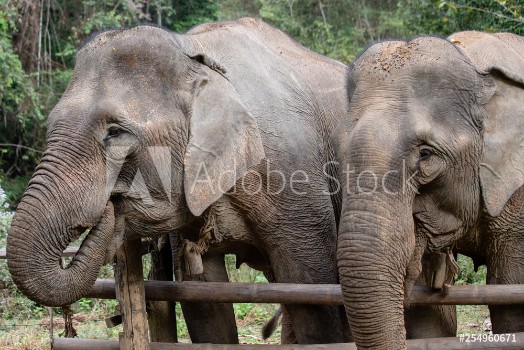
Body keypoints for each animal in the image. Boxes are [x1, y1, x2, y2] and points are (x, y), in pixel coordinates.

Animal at [5, 19, 352, 344]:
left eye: (115, 132)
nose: (109, 207)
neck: (197, 52)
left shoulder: (295, 180)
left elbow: (312, 294)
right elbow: (202, 300)